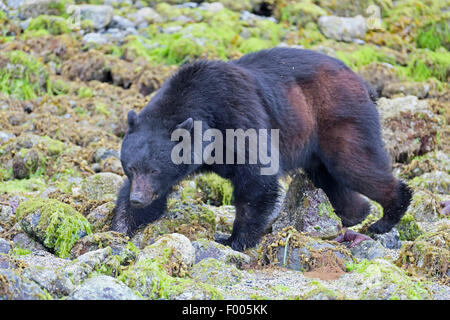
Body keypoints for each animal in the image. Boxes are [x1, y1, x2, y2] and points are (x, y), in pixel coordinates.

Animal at [111, 48, 412, 252]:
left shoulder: (238, 117)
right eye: (131, 168)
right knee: (331, 179)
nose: (139, 198)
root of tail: (363, 83)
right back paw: (354, 213)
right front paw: (120, 229)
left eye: (154, 169)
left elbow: (257, 180)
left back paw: (385, 218)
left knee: (355, 164)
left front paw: (234, 240)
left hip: (339, 117)